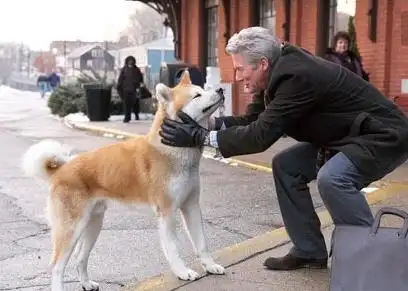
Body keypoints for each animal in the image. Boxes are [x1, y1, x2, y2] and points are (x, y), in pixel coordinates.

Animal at [21, 71, 226, 291]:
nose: (221, 89)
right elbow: (173, 248)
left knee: (80, 258)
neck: (171, 149)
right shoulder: (167, 212)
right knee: (57, 266)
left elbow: (202, 243)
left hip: (93, 224)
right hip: (71, 229)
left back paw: (86, 283)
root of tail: (61, 170)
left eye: (203, 89)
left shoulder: (191, 206)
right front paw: (182, 272)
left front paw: (210, 265)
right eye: (196, 95)